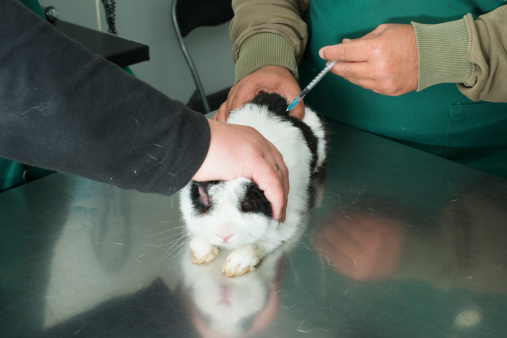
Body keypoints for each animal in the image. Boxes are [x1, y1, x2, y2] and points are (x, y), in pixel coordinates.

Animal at [181, 92, 328, 278]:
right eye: (202, 196)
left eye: (250, 200)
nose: (224, 235)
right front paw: (202, 254)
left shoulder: (287, 220)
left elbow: (258, 243)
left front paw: (234, 266)